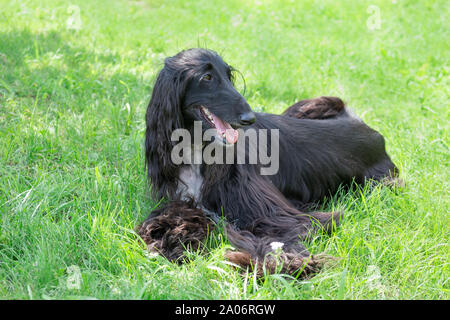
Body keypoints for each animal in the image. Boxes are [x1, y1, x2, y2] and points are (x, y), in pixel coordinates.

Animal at [138, 47, 400, 278]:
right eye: (207, 77)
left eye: (229, 75)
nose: (249, 118)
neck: (197, 150)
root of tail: (373, 132)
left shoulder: (282, 216)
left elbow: (280, 236)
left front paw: (264, 264)